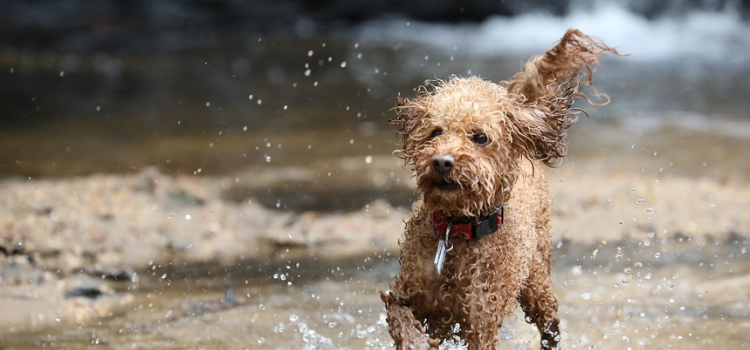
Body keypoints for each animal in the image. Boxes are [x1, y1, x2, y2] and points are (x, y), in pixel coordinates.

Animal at [378, 28, 620, 348]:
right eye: (436, 132)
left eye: (480, 137)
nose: (442, 162)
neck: (458, 230)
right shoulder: (406, 293)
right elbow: (400, 317)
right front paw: (415, 341)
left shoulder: (481, 324)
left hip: (537, 284)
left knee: (551, 324)